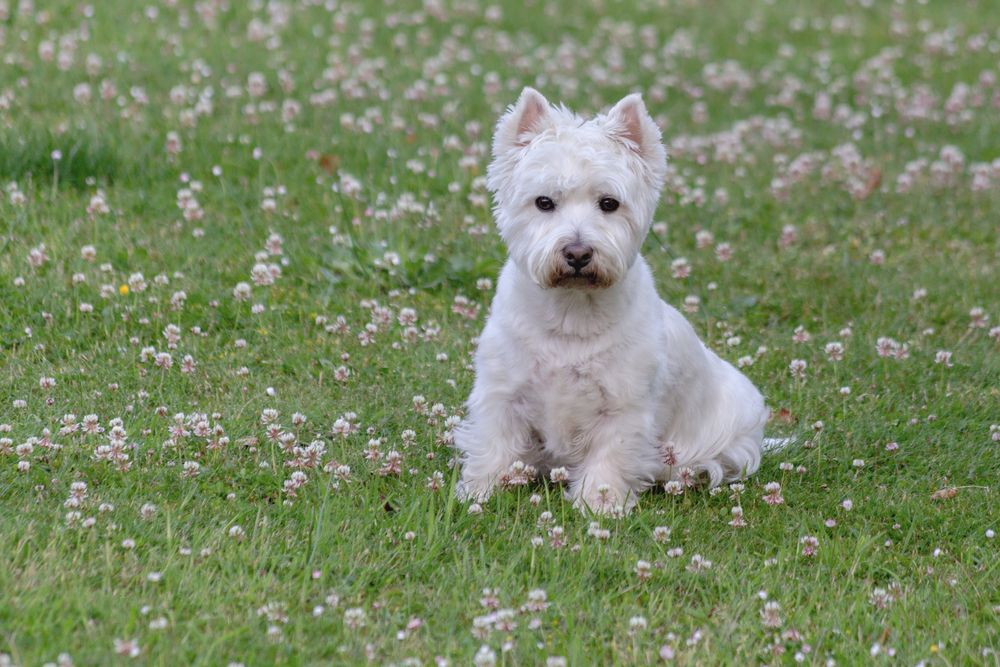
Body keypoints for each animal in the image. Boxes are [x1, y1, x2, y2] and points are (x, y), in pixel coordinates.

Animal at [458, 88, 768, 516]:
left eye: (609, 203)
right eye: (543, 202)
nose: (577, 253)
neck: (571, 313)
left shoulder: (624, 407)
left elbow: (610, 459)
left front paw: (599, 506)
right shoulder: (502, 391)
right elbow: (493, 446)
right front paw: (479, 494)